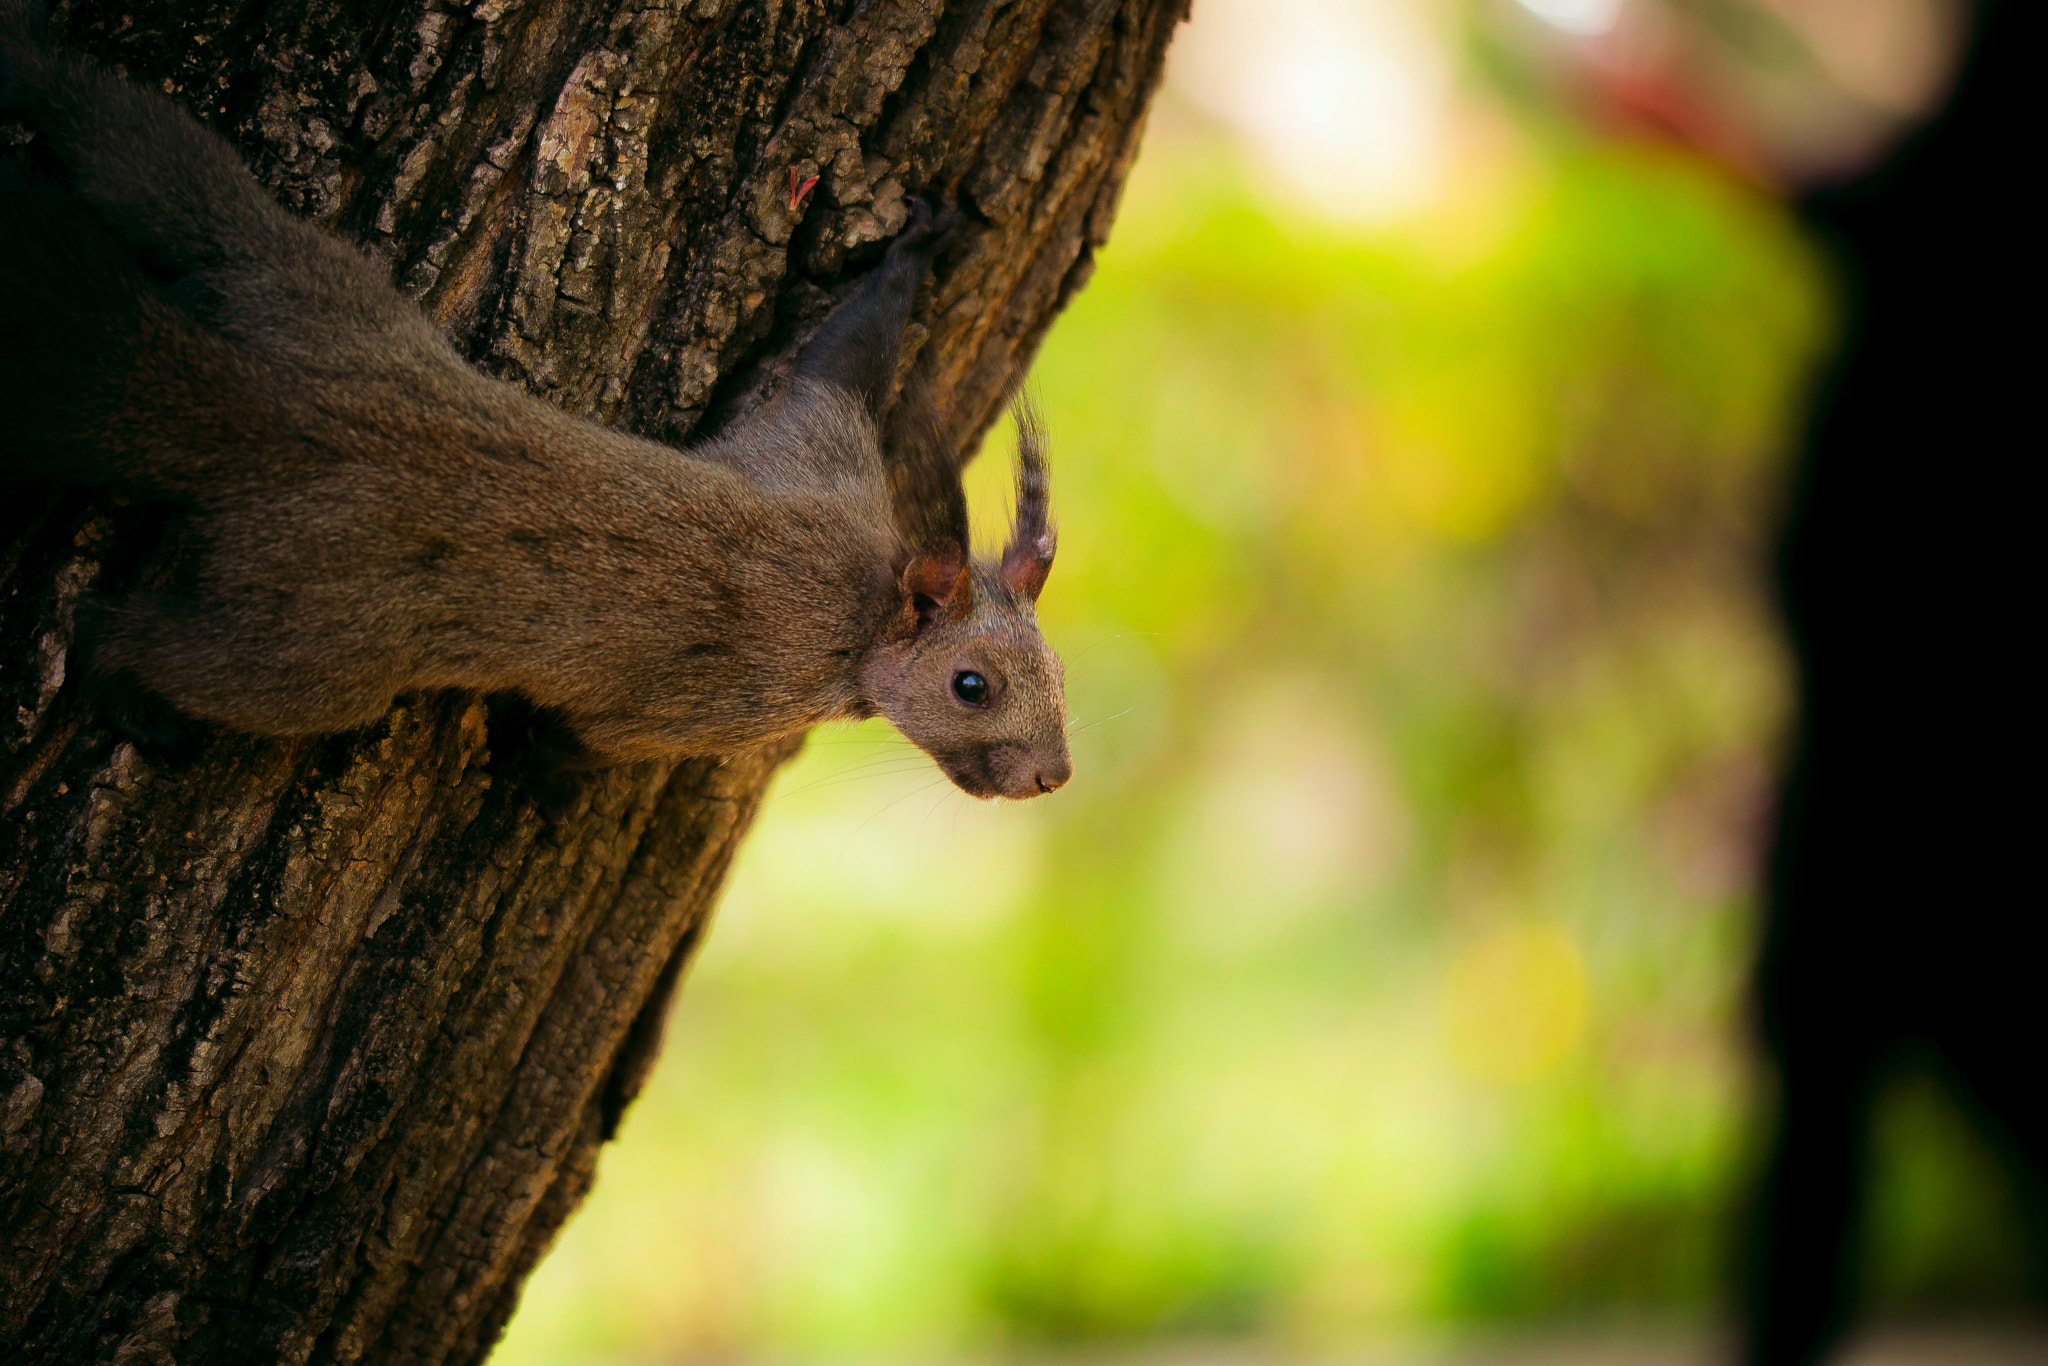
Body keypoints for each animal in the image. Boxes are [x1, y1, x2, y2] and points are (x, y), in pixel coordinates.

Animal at [0, 1, 1071, 801]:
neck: (866, 593)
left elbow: (837, 359)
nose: (1052, 777)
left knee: (133, 147)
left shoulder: (816, 449)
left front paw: (914, 251)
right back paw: (123, 686)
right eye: (970, 687)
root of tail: (271, 420)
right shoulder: (720, 695)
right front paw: (538, 775)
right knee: (147, 640)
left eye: (1058, 674)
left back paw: (30, 52)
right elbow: (590, 738)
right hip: (315, 645)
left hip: (287, 275)